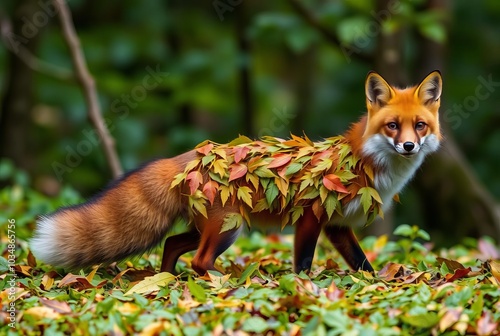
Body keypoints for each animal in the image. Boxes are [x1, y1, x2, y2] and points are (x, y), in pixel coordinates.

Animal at [30, 69, 442, 274]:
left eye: (419, 126)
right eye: (393, 126)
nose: (408, 146)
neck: (363, 161)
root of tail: (191, 155)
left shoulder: (338, 226)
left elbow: (363, 265)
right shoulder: (312, 217)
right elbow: (303, 264)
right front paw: (303, 291)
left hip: (210, 227)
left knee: (172, 244)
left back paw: (169, 280)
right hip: (228, 227)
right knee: (199, 259)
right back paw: (217, 285)